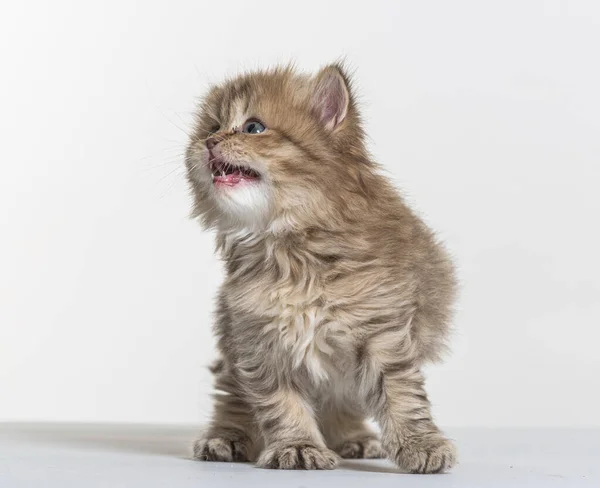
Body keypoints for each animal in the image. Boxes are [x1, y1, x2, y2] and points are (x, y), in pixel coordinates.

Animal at [185, 63, 458, 470]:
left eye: (253, 128)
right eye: (211, 127)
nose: (209, 142)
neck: (292, 247)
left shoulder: (381, 331)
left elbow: (402, 396)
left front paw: (420, 443)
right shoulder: (258, 338)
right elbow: (281, 404)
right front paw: (298, 446)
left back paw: (354, 438)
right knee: (231, 399)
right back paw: (225, 438)